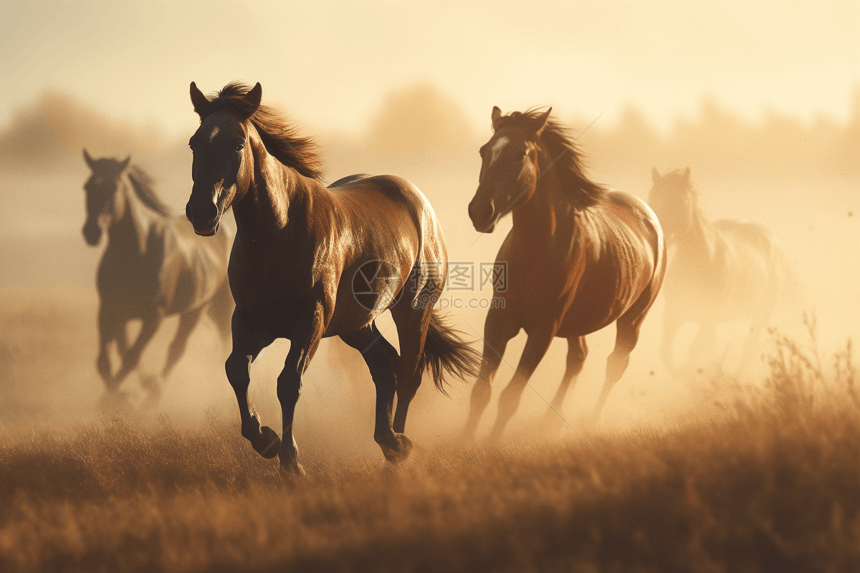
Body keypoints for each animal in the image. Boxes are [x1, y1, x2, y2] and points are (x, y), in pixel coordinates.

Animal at [82, 151, 233, 402]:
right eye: (87, 186)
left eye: (114, 187)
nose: (91, 232)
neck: (136, 254)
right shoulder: (110, 311)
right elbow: (107, 360)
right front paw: (122, 394)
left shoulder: (154, 317)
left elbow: (131, 357)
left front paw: (117, 399)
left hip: (202, 310)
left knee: (180, 349)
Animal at [186, 81, 480, 478]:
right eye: (195, 142)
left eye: (237, 143)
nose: (202, 213)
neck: (280, 232)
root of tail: (420, 204)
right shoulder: (251, 320)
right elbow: (236, 370)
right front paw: (265, 440)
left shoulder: (310, 321)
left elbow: (288, 383)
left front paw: (291, 461)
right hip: (356, 324)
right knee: (385, 367)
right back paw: (387, 441)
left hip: (412, 310)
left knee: (409, 372)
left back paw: (400, 446)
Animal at [464, 107, 664, 440]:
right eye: (483, 151)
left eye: (520, 154)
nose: (481, 211)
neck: (537, 251)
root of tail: (650, 218)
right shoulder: (499, 319)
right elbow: (482, 390)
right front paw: (462, 441)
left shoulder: (544, 329)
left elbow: (510, 396)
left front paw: (489, 445)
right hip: (578, 323)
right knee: (578, 358)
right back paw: (550, 423)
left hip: (633, 318)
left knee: (615, 364)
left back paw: (590, 421)